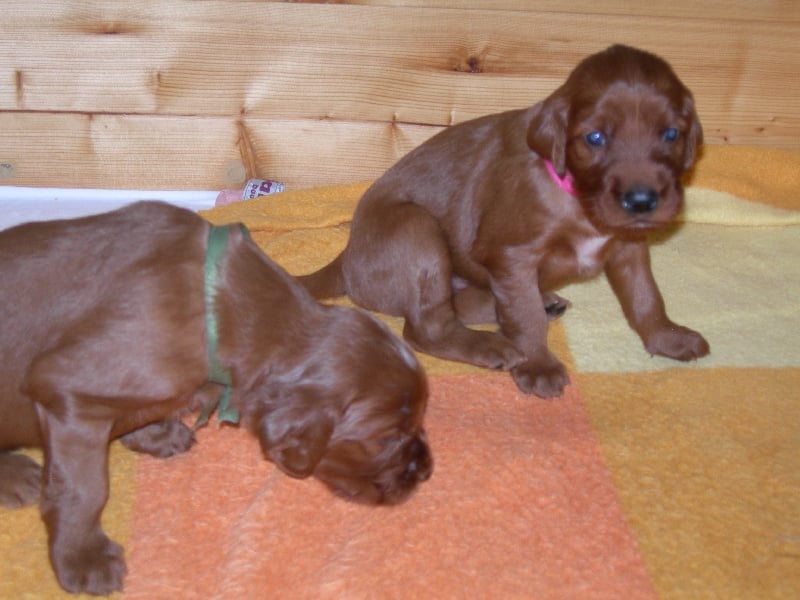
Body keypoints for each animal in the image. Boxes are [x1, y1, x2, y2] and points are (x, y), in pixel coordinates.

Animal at [0, 201, 432, 595]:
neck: (223, 311)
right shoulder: (68, 392)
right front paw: (85, 559)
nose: (427, 471)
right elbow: (85, 489)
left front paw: (156, 433)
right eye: (388, 437)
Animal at [300, 44, 709, 398]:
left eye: (670, 133)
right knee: (425, 329)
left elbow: (646, 297)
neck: (577, 198)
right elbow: (523, 316)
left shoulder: (629, 248)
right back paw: (490, 343)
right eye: (595, 137)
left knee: (461, 305)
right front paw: (539, 366)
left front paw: (667, 338)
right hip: (416, 229)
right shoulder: (512, 256)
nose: (642, 201)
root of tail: (347, 254)